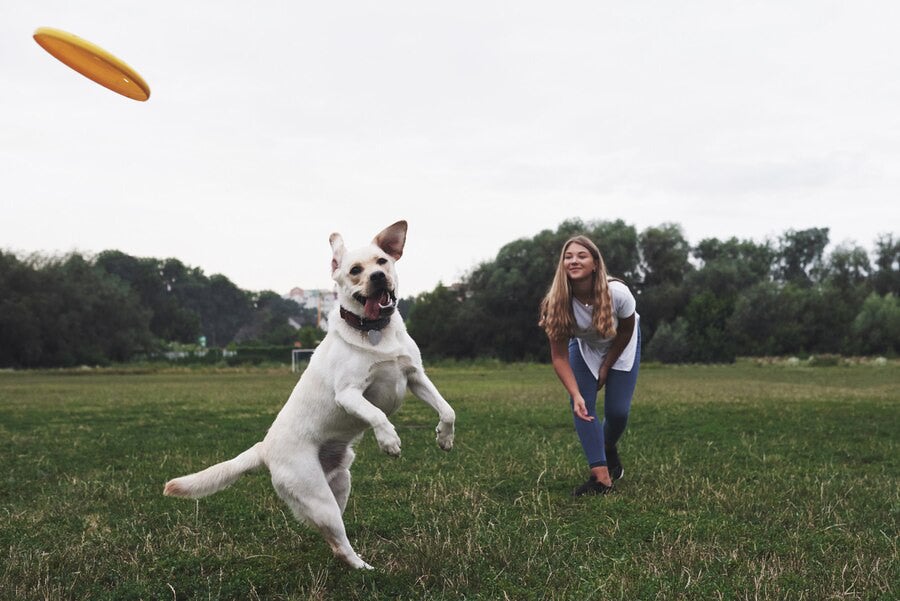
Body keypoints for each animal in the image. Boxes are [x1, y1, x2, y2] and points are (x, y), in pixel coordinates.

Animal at [162, 219, 454, 568]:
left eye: (382, 261)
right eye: (355, 270)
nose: (377, 277)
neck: (375, 332)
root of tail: (264, 449)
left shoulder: (415, 377)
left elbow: (447, 409)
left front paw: (444, 438)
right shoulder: (349, 393)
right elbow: (377, 414)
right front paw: (389, 441)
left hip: (340, 485)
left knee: (333, 537)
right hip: (318, 497)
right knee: (340, 541)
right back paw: (365, 567)